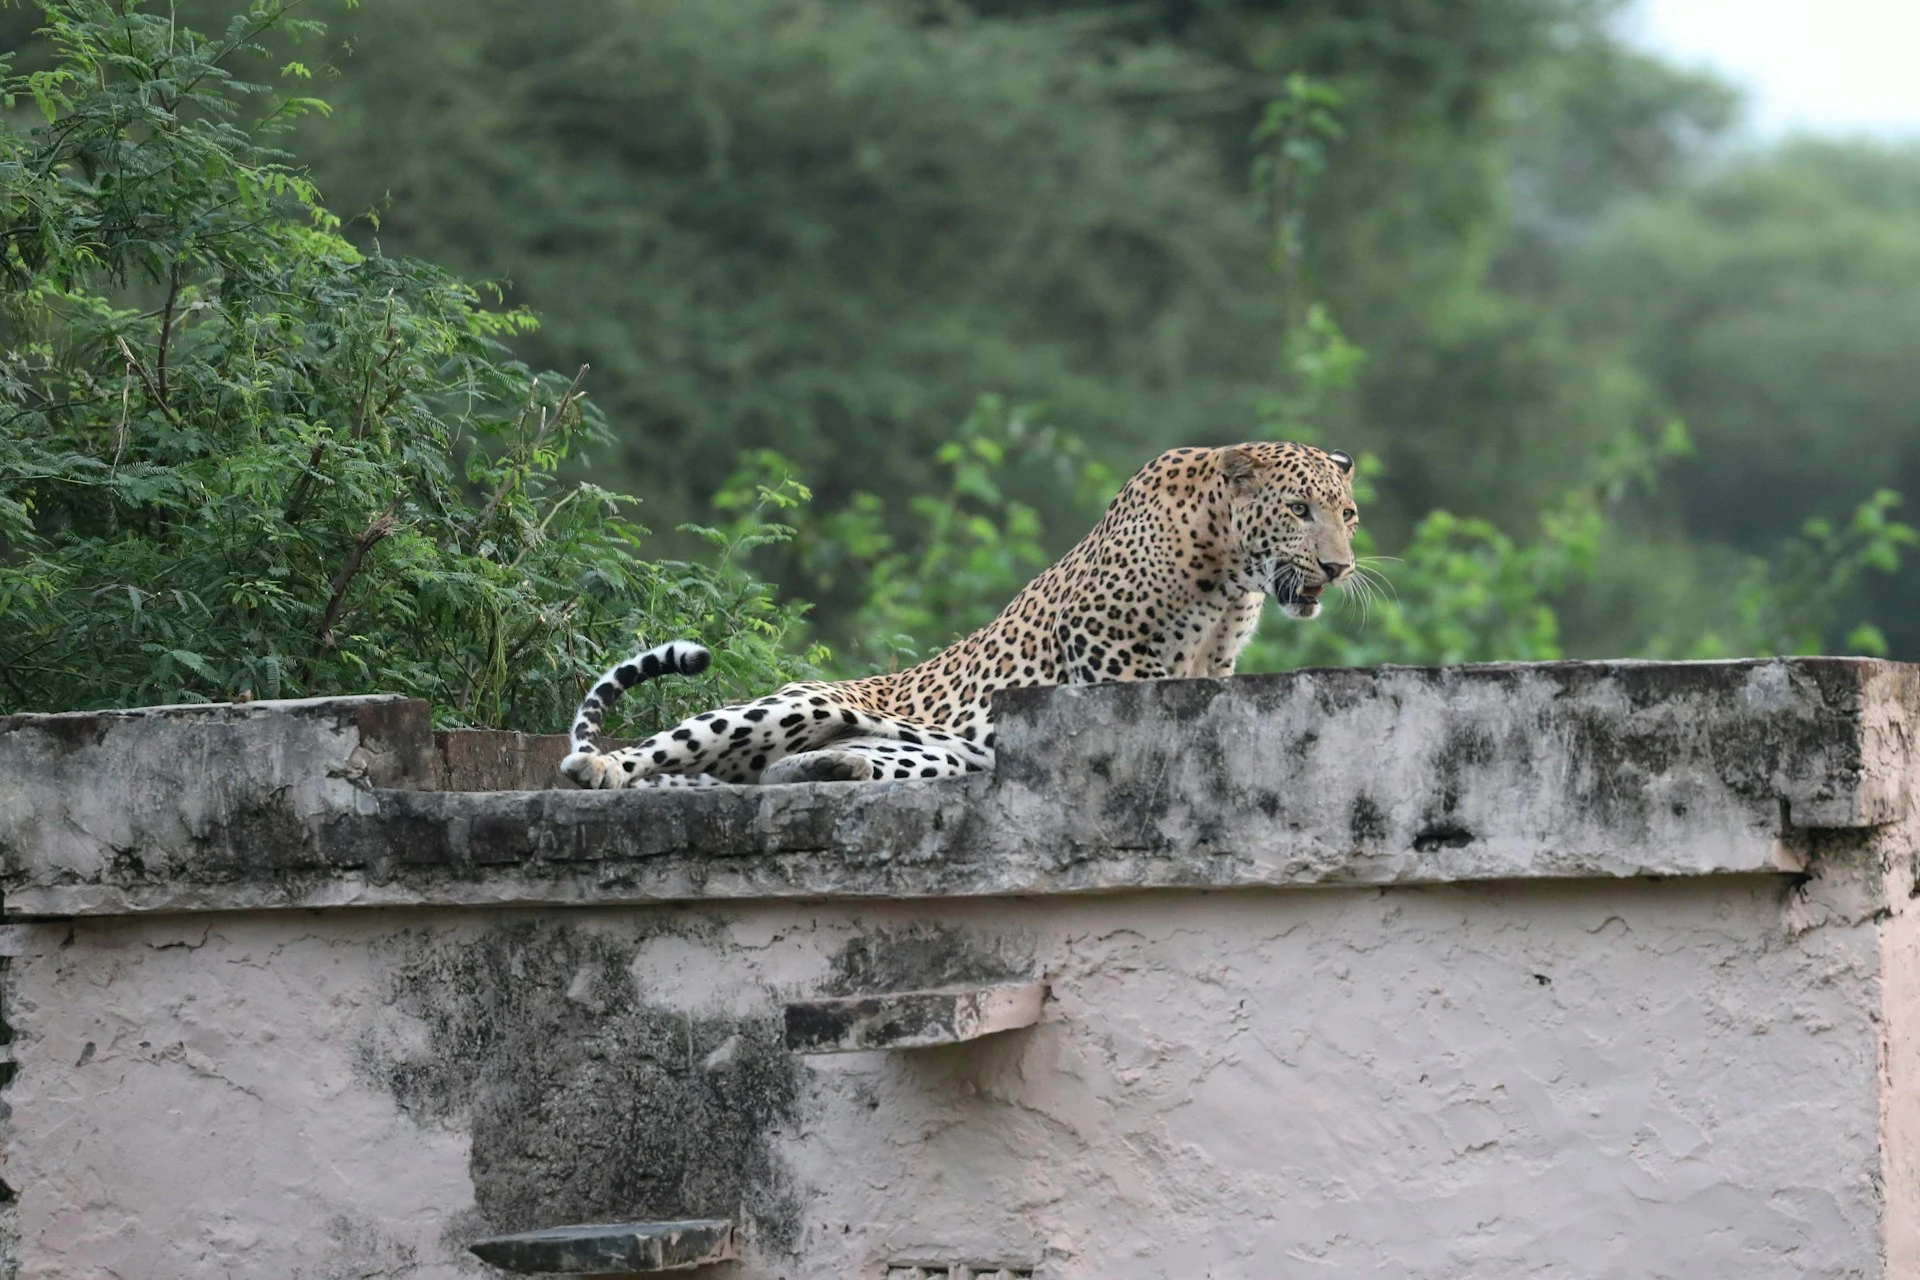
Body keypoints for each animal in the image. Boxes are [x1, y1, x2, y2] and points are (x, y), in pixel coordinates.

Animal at [560, 440, 1358, 789]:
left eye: (1347, 515)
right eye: (1298, 510)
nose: (1339, 567)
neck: (1227, 578)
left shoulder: (1213, 669)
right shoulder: (1114, 665)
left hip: (937, 748)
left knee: (797, 769)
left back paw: (833, 766)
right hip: (796, 703)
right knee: (649, 752)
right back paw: (600, 767)